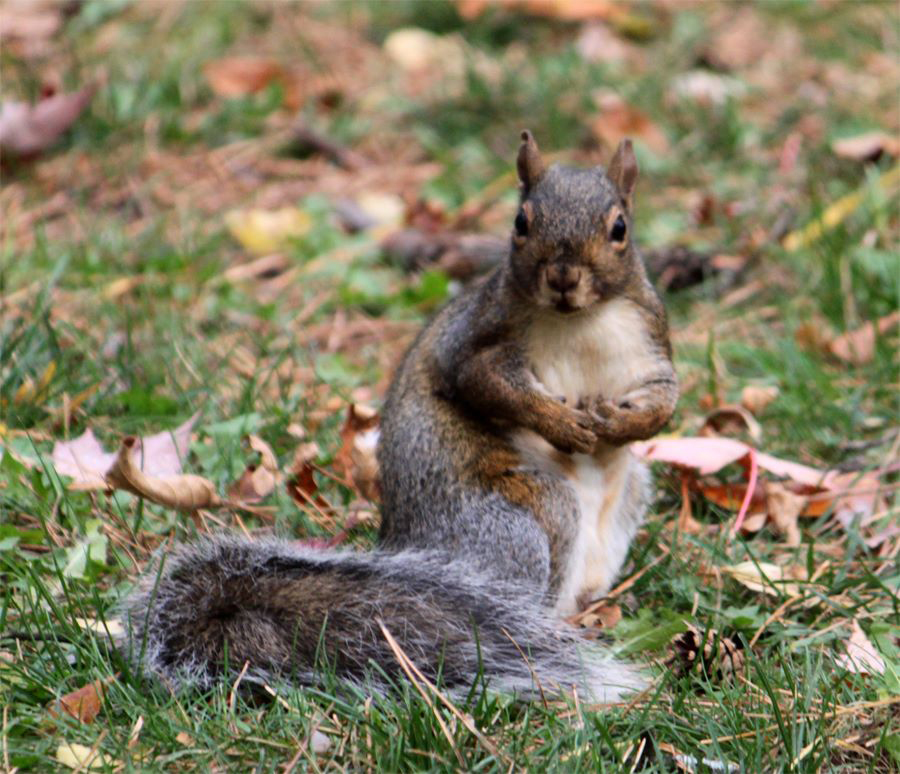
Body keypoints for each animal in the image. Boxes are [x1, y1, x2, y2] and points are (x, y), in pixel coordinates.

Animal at [119, 133, 676, 704]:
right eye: (521, 222)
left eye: (620, 229)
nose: (563, 278)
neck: (581, 321)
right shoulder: (476, 341)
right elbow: (489, 387)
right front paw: (560, 421)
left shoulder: (650, 352)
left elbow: (663, 404)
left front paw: (619, 425)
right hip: (514, 520)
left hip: (630, 494)